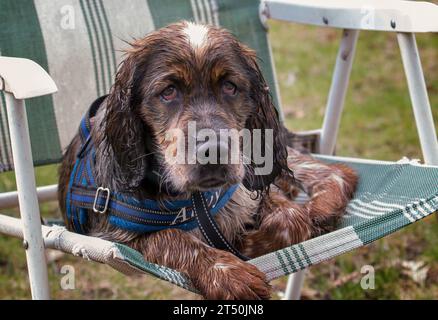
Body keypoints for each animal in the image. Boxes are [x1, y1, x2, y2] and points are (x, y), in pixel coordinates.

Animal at [57, 21, 360, 298]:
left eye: (230, 86)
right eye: (168, 91)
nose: (214, 151)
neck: (194, 200)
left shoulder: (246, 189)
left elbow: (293, 219)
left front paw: (244, 243)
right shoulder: (111, 236)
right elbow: (171, 237)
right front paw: (230, 274)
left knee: (336, 172)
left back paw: (323, 205)